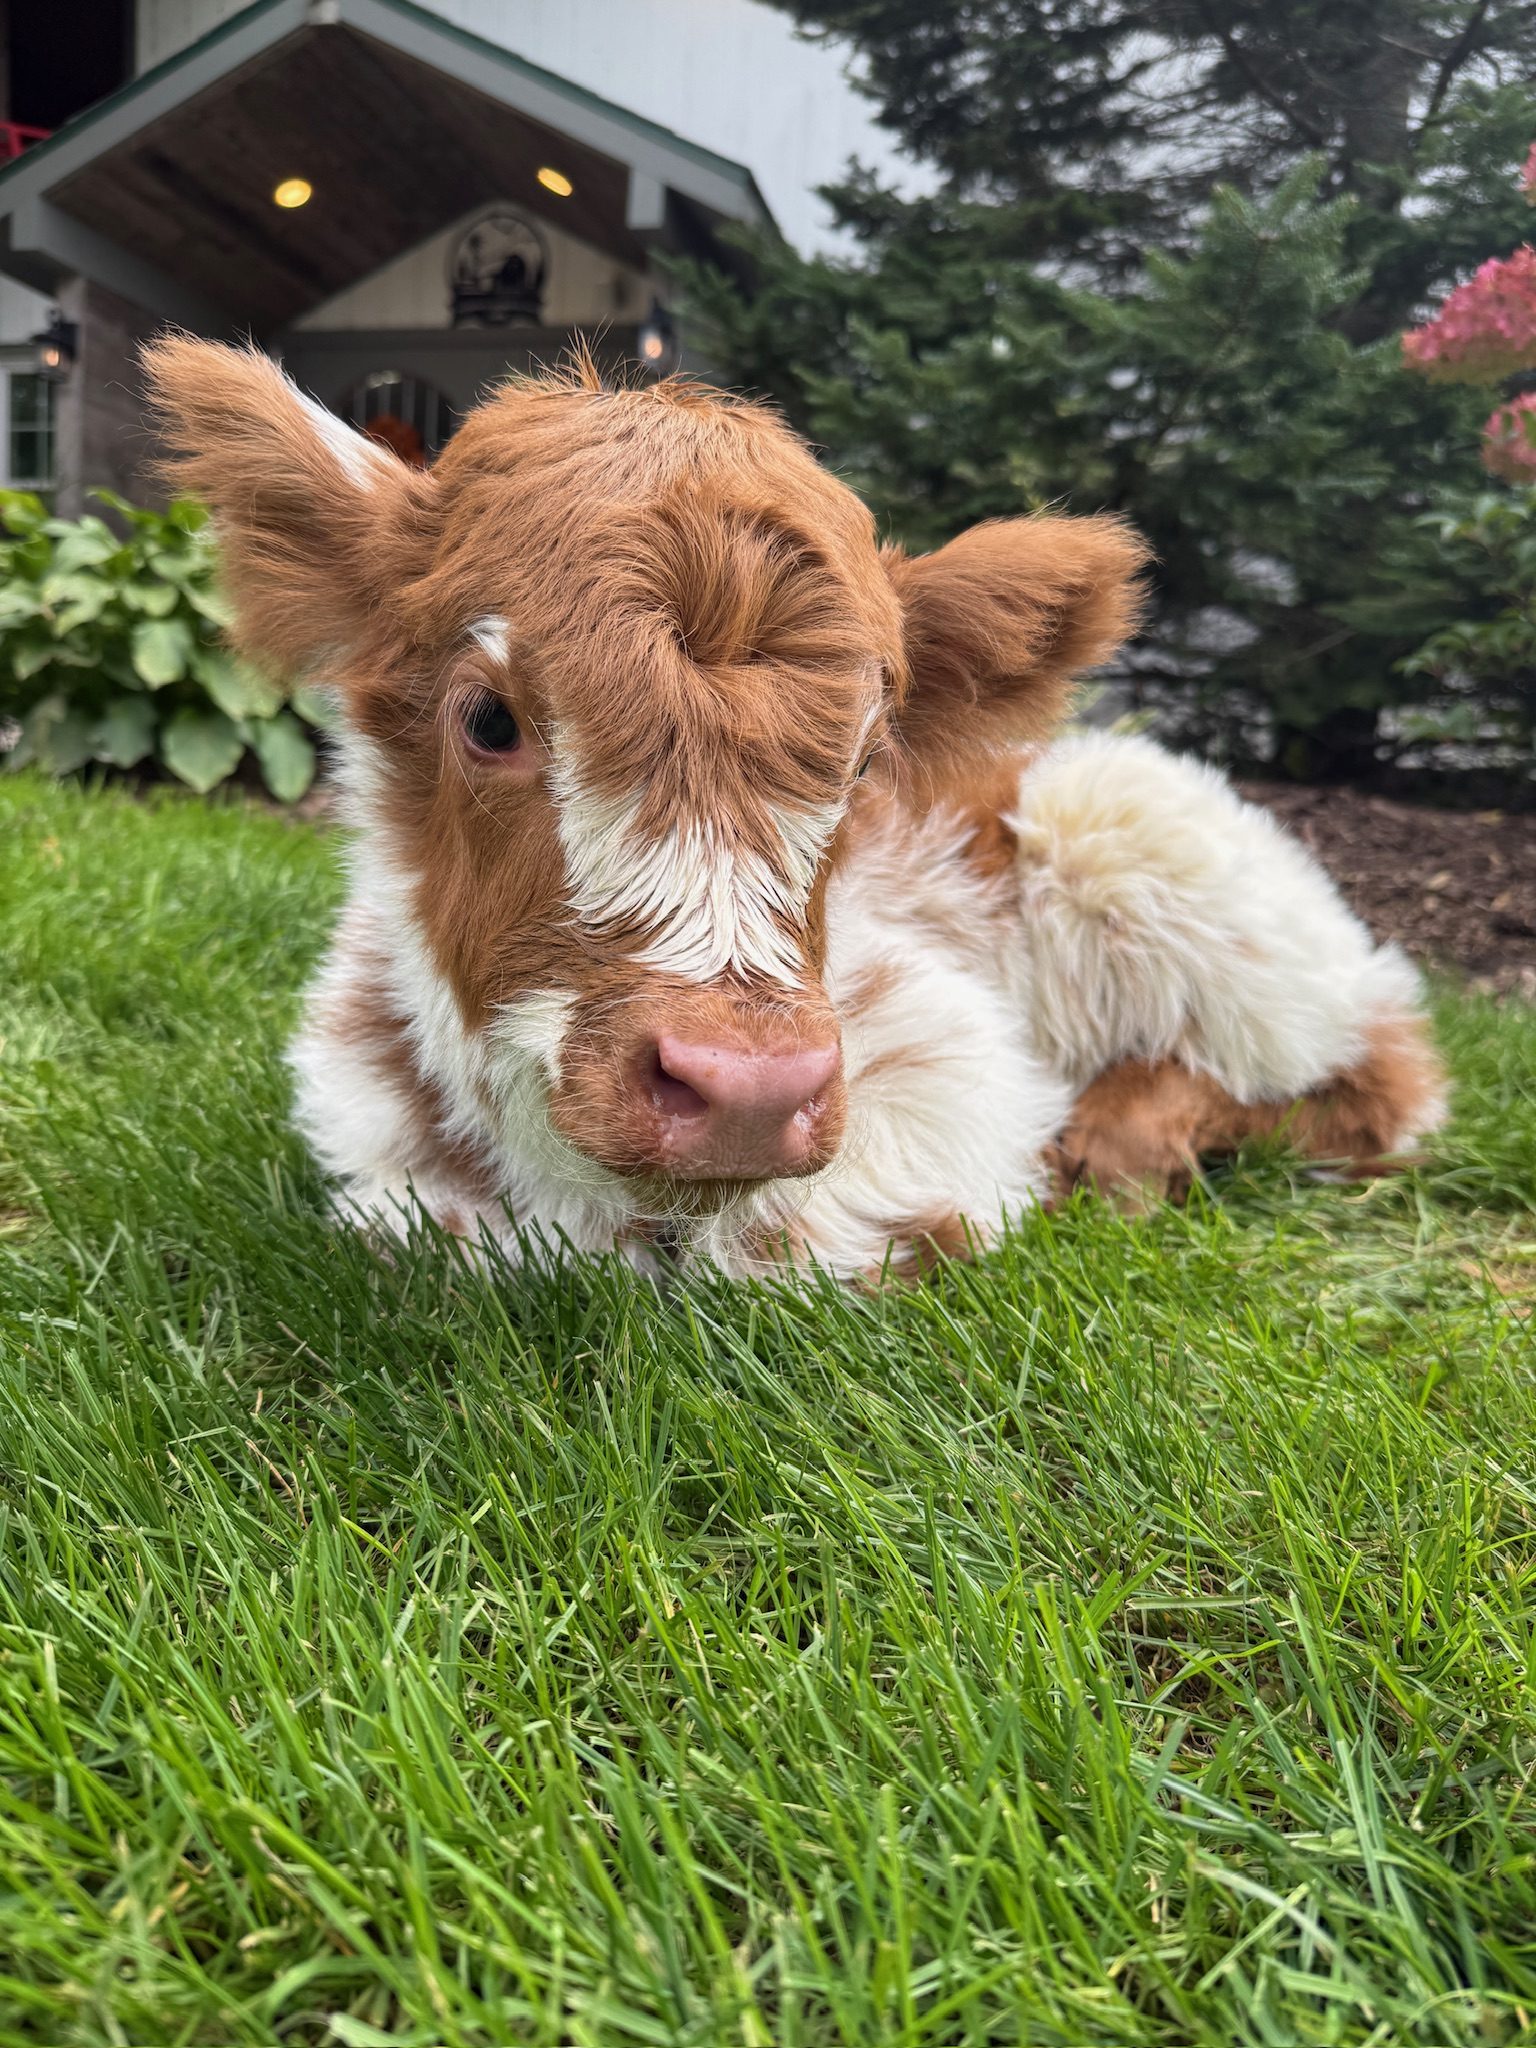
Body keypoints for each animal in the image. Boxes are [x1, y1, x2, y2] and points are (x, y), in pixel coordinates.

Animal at [144, 338, 1447, 1279]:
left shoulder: (941, 1059)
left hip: (1148, 839)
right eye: (490, 719)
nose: (746, 1092)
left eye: (866, 763)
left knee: (1369, 1070)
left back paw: (1125, 1141)